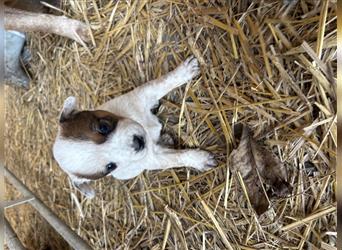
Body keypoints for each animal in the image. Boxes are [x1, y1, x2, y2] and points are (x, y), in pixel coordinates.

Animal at [52, 56, 216, 197]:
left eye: (103, 127)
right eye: (110, 167)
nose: (138, 143)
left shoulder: (141, 95)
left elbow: (161, 83)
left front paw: (184, 71)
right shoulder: (153, 157)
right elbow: (177, 158)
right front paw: (199, 160)